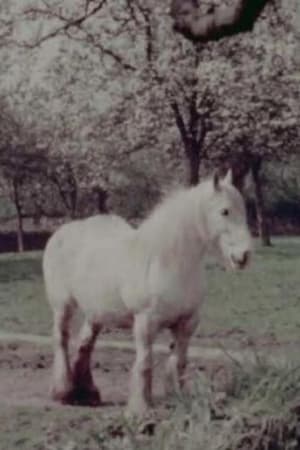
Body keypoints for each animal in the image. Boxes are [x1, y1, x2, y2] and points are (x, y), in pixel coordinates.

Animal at [43, 171, 252, 414]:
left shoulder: (187, 322)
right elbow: (144, 362)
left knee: (85, 345)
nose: (244, 256)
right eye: (224, 211)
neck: (168, 262)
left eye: (243, 208)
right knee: (61, 339)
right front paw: (140, 408)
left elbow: (179, 362)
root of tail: (61, 233)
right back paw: (63, 392)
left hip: (95, 314)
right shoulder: (145, 322)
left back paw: (87, 394)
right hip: (62, 306)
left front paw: (177, 398)